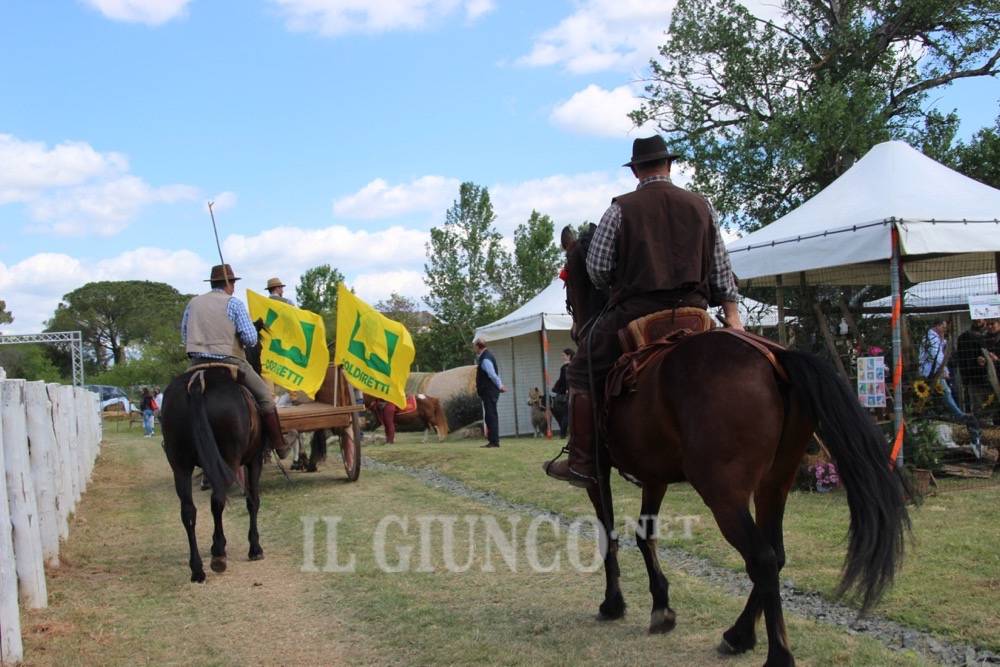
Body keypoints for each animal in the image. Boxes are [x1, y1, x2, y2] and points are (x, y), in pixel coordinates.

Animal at [560, 226, 912, 667]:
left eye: (568, 277)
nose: (574, 329)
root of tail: (776, 360)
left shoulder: (597, 473)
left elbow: (609, 533)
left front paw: (613, 603)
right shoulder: (655, 476)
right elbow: (645, 534)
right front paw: (661, 606)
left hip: (724, 493)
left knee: (761, 558)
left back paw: (776, 653)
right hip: (774, 484)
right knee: (775, 555)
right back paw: (740, 633)